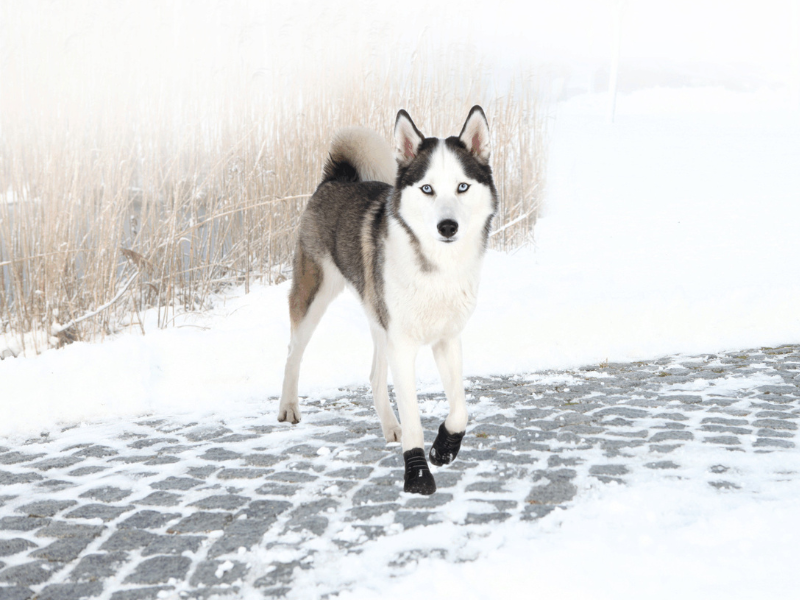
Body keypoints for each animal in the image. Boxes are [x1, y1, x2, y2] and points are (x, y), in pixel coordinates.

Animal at [278, 105, 496, 494]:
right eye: (427, 189)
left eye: (462, 186)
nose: (447, 227)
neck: (437, 268)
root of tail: (335, 179)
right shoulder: (403, 346)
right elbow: (414, 418)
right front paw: (417, 473)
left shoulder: (446, 339)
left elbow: (460, 410)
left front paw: (444, 446)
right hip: (314, 295)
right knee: (293, 352)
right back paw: (288, 406)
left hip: (379, 319)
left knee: (375, 377)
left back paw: (390, 426)